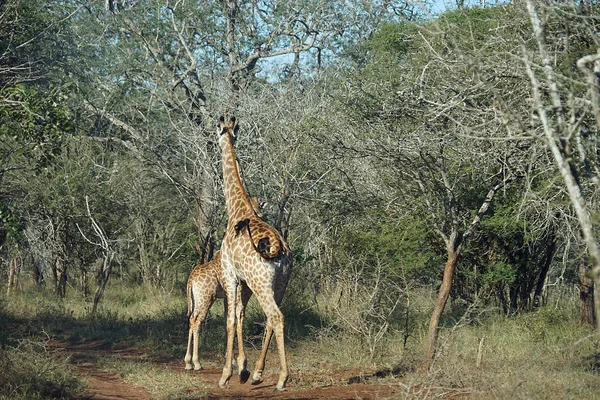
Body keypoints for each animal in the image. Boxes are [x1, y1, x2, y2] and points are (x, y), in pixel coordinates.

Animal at [217, 117, 294, 392]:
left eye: (217, 132)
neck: (237, 209)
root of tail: (279, 250)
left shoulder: (230, 274)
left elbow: (230, 319)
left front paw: (226, 374)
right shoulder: (243, 281)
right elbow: (239, 315)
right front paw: (244, 369)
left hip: (261, 283)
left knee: (276, 316)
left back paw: (281, 379)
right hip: (280, 284)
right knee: (272, 318)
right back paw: (259, 374)